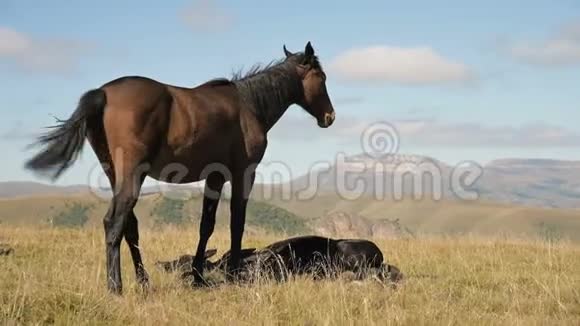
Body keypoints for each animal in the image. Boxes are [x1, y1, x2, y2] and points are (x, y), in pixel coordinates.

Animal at [24, 42, 338, 294]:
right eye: (321, 77)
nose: (330, 117)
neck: (249, 104)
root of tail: (102, 93)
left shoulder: (215, 176)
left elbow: (206, 225)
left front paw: (198, 277)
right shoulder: (242, 173)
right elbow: (237, 223)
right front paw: (234, 275)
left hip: (114, 173)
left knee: (129, 226)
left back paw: (143, 281)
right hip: (132, 175)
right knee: (113, 223)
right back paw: (116, 287)